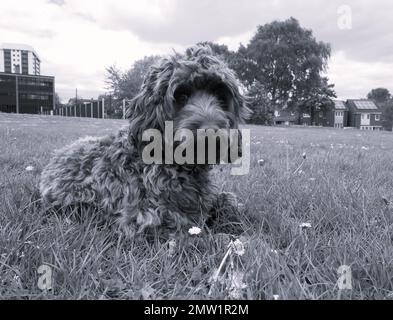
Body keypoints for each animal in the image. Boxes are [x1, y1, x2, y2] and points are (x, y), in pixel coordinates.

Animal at [39, 47, 248, 238]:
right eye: (181, 96)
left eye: (221, 97)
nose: (212, 136)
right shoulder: (146, 218)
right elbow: (196, 232)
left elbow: (230, 202)